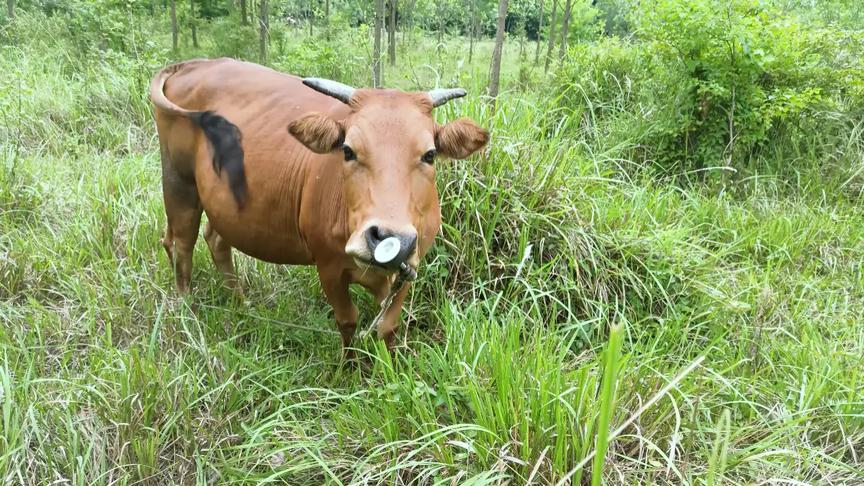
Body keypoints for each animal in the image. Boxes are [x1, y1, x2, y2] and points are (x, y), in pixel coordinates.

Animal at [148, 58, 486, 352]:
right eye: (348, 150)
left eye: (429, 154)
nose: (389, 239)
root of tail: (195, 63)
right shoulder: (329, 267)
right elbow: (348, 321)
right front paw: (349, 370)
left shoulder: (410, 267)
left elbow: (387, 326)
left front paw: (391, 367)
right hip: (178, 181)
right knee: (180, 244)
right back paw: (188, 314)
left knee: (215, 239)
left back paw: (241, 304)